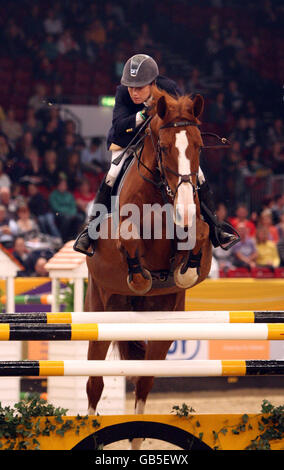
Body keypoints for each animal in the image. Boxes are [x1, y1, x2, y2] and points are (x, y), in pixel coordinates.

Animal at [83, 86, 212, 450]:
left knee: (143, 383)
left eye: (199, 145)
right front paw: (140, 276)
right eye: (165, 147)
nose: (183, 208)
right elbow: (129, 236)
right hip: (101, 312)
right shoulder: (121, 233)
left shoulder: (195, 225)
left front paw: (185, 269)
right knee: (94, 384)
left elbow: (200, 233)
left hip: (162, 326)